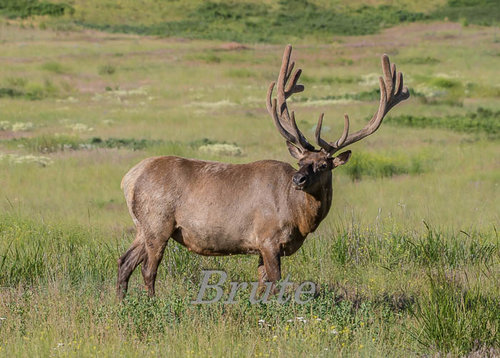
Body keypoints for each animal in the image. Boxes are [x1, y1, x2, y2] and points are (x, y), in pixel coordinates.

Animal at [118, 44, 410, 298]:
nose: (298, 179)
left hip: (142, 227)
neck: (299, 217)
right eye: (301, 161)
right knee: (148, 269)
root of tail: (128, 179)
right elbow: (276, 283)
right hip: (158, 223)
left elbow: (261, 285)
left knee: (124, 262)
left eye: (323, 165)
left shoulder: (260, 246)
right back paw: (151, 305)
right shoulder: (269, 239)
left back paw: (122, 304)